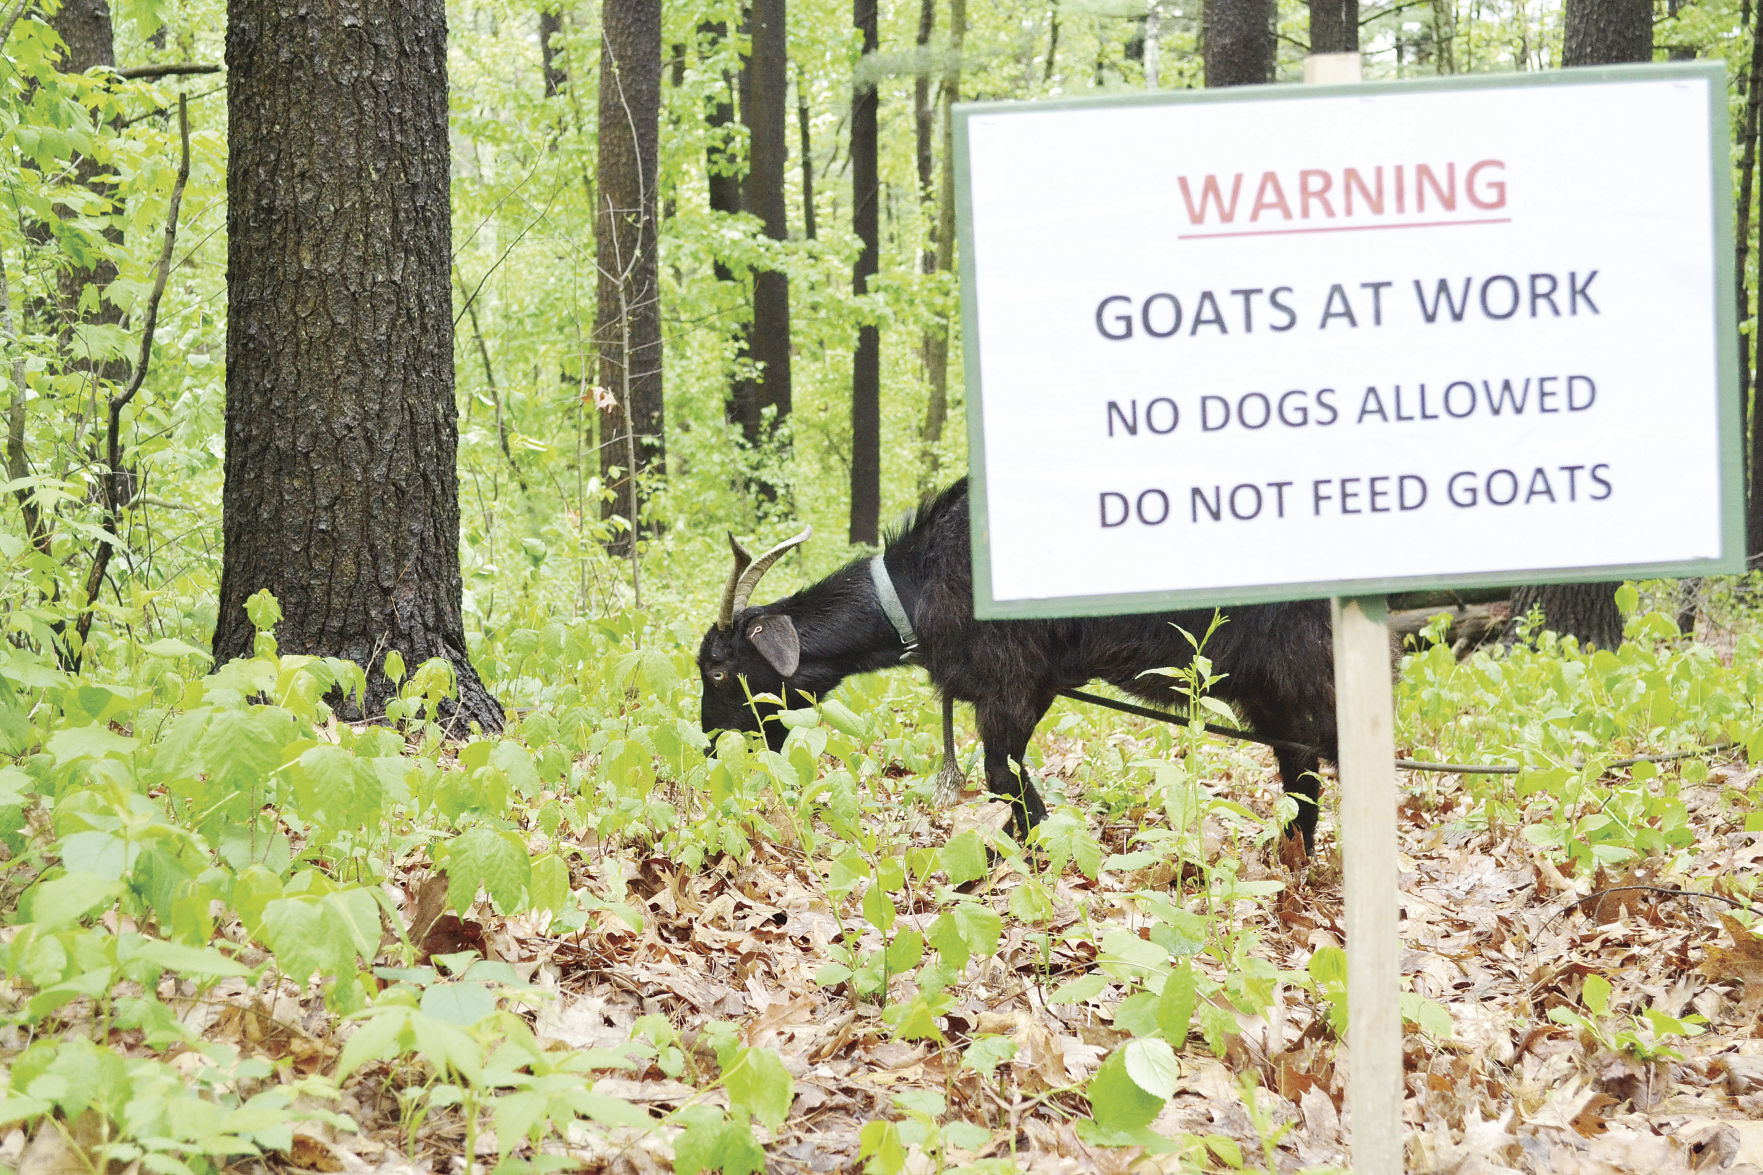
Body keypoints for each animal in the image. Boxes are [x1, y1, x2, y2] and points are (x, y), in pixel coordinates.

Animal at [694, 479, 1339, 846]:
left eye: (720, 671)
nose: (712, 748)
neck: (919, 586)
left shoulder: (1012, 683)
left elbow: (1003, 777)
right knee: (1299, 769)